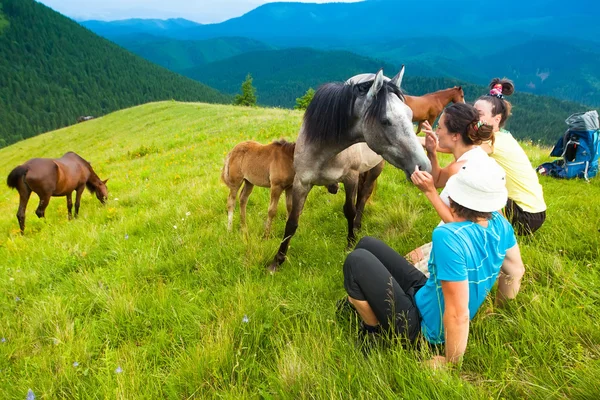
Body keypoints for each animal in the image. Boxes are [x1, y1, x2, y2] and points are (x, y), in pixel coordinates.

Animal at [268, 68, 432, 272]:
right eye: (385, 121)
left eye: (410, 115)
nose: (424, 167)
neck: (324, 151)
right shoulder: (301, 182)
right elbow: (292, 221)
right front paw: (277, 261)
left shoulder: (350, 178)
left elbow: (350, 210)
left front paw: (351, 242)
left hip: (375, 169)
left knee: (363, 197)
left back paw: (357, 225)